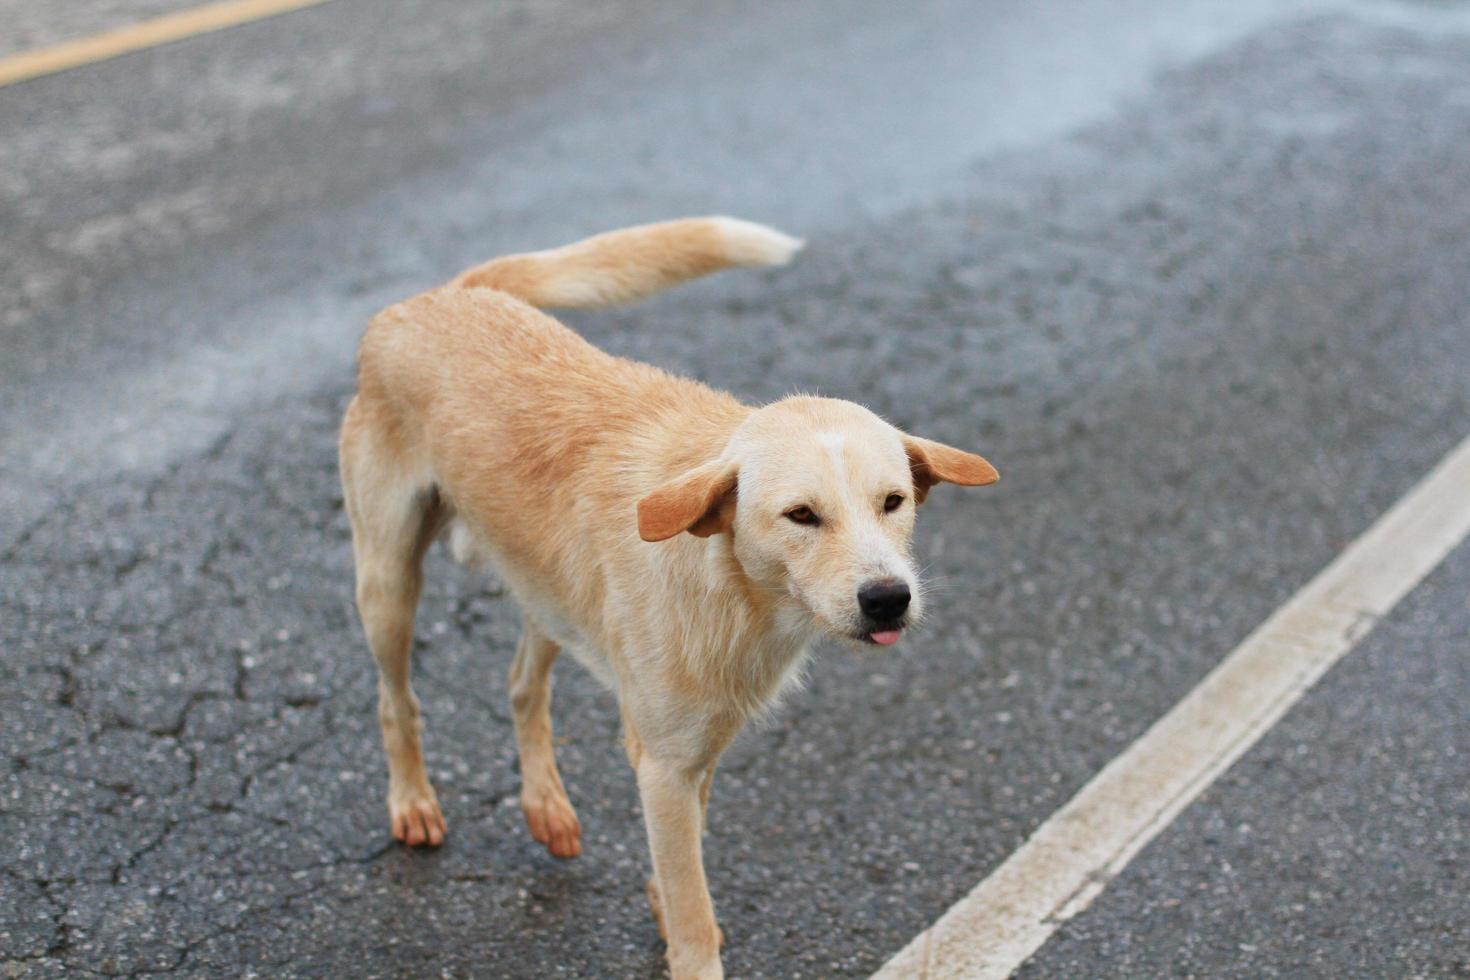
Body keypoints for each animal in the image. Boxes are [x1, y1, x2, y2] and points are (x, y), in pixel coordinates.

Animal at [336, 215, 999, 980]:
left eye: (893, 502)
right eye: (802, 515)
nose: (888, 598)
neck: (733, 585)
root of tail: (444, 296)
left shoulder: (694, 755)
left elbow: (684, 870)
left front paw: (659, 896)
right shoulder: (665, 764)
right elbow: (693, 910)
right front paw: (685, 938)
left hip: (548, 592)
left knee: (523, 685)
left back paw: (544, 805)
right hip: (388, 583)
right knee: (397, 702)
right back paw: (413, 800)